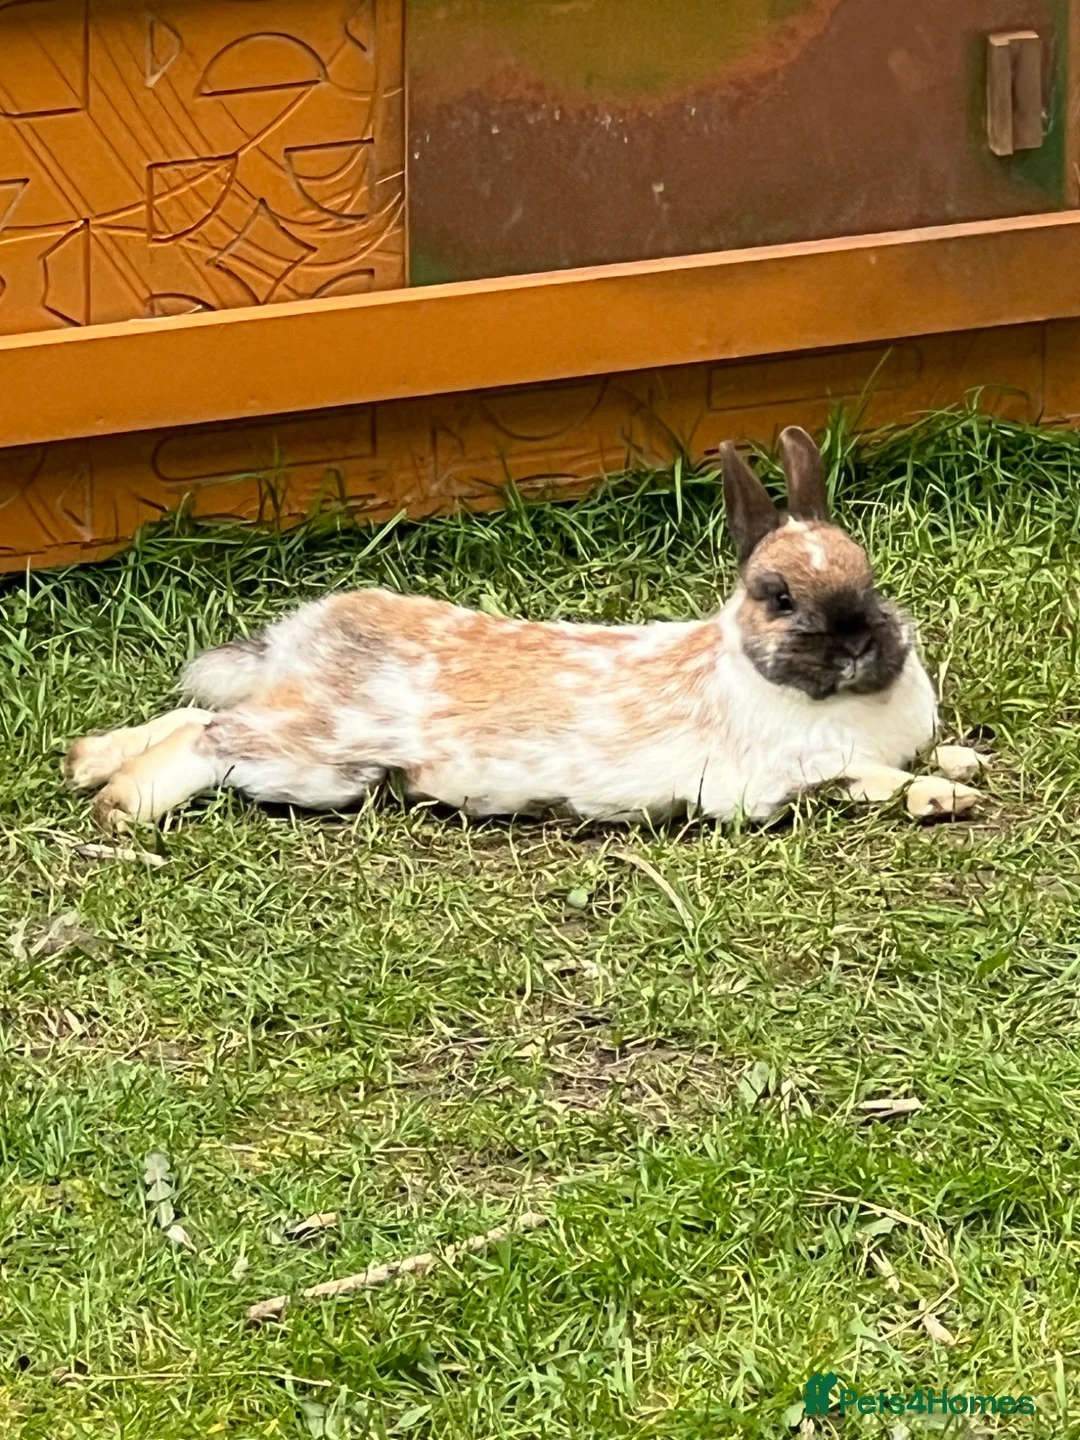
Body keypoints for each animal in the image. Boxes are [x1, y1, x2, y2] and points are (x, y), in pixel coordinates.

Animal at [64, 427, 980, 832]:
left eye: (870, 575)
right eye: (777, 595)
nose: (858, 641)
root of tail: (313, 631)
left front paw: (963, 764)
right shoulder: (778, 778)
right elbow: (871, 779)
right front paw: (946, 797)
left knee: (197, 711)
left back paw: (86, 762)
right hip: (323, 758)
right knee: (211, 735)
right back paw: (122, 807)